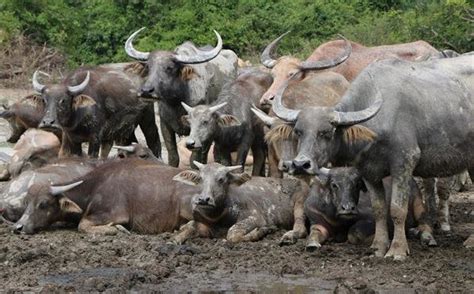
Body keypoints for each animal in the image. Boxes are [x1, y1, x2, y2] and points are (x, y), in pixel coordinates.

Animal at [32, 61, 161, 158]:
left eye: (63, 100)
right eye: (44, 100)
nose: (48, 122)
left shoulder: (95, 138)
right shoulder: (72, 139)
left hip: (148, 119)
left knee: (154, 141)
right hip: (126, 129)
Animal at [125, 29, 239, 168]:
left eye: (169, 68)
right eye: (148, 67)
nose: (146, 91)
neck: (177, 101)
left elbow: (194, 159)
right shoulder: (165, 124)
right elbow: (173, 156)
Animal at [172, 162, 310, 245]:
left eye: (221, 179)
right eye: (201, 179)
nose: (204, 199)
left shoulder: (256, 217)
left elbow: (232, 233)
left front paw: (263, 231)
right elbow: (186, 228)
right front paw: (176, 239)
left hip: (300, 203)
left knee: (301, 227)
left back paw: (289, 236)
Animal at [306, 167, 436, 252]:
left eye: (357, 184)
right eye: (334, 185)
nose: (348, 208)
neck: (337, 219)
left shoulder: (372, 218)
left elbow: (355, 232)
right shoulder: (317, 221)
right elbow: (314, 232)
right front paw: (312, 244)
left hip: (418, 204)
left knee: (426, 222)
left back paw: (427, 238)